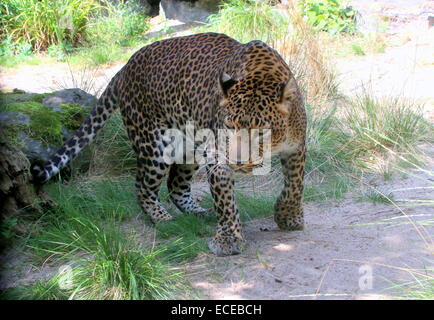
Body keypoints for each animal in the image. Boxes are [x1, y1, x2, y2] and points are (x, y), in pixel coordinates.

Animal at [30, 32, 306, 256]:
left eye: (261, 133)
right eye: (229, 127)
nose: (237, 161)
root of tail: (127, 64)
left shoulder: (297, 146)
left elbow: (294, 186)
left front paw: (288, 217)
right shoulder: (218, 157)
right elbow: (226, 202)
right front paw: (228, 238)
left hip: (191, 145)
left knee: (175, 184)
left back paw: (199, 212)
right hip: (154, 144)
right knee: (143, 186)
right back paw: (162, 218)